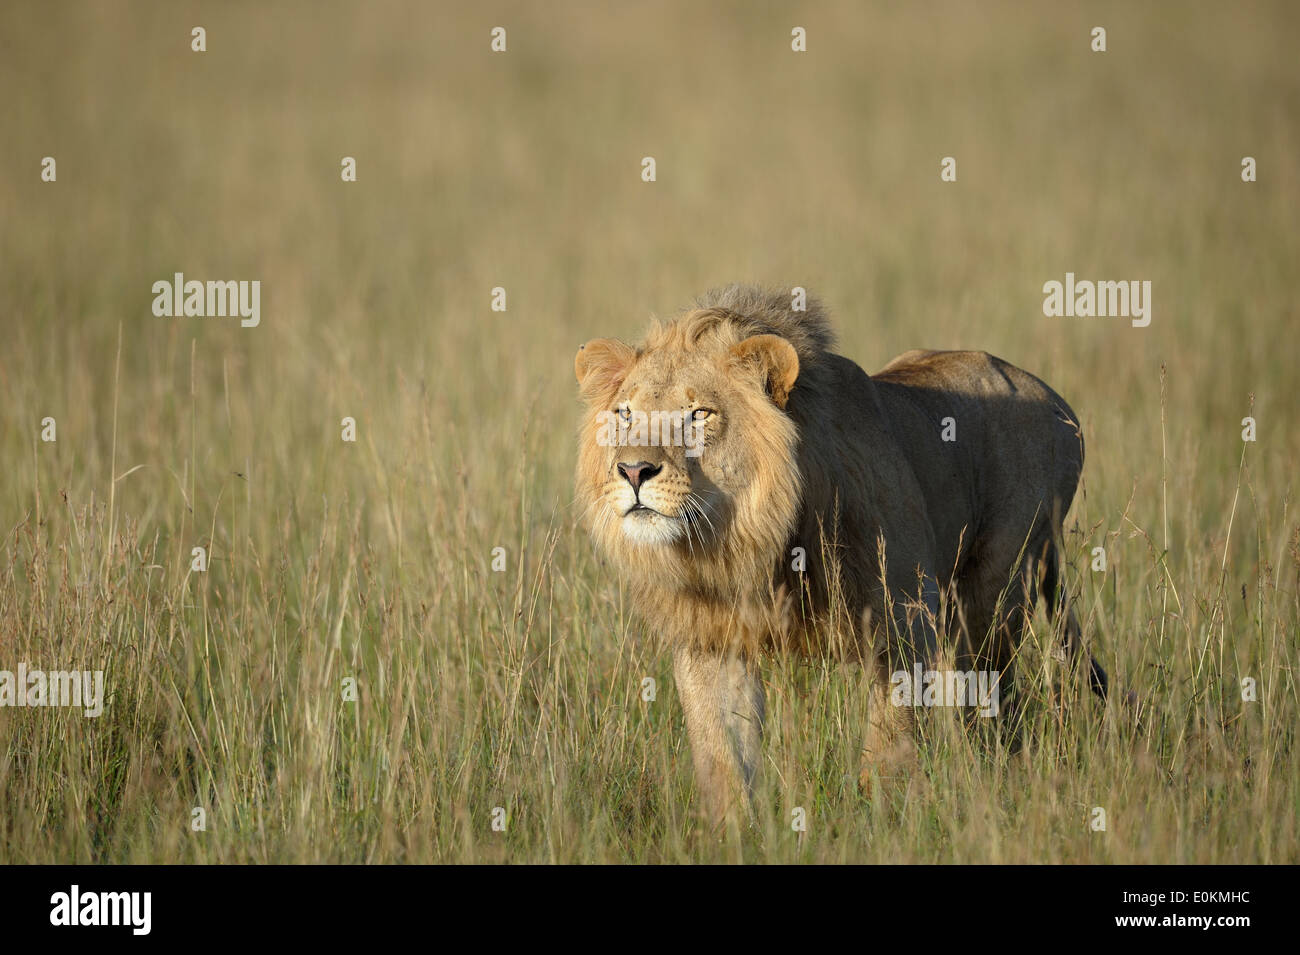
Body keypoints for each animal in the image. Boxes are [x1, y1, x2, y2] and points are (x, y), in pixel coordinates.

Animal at [572, 281, 1107, 821]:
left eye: (699, 414)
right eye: (625, 414)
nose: (633, 471)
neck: (750, 546)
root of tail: (1052, 396)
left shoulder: (905, 619)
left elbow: (891, 738)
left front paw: (882, 816)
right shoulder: (712, 641)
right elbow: (722, 752)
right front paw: (734, 828)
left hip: (995, 593)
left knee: (993, 696)